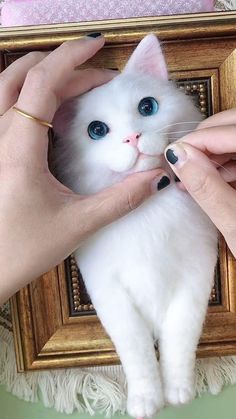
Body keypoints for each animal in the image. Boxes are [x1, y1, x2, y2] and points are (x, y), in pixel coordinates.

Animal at [53, 34, 218, 418]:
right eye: (97, 130)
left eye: (147, 107)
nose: (133, 136)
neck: (150, 207)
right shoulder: (110, 292)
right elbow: (137, 351)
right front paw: (145, 400)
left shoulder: (196, 276)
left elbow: (179, 340)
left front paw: (178, 391)